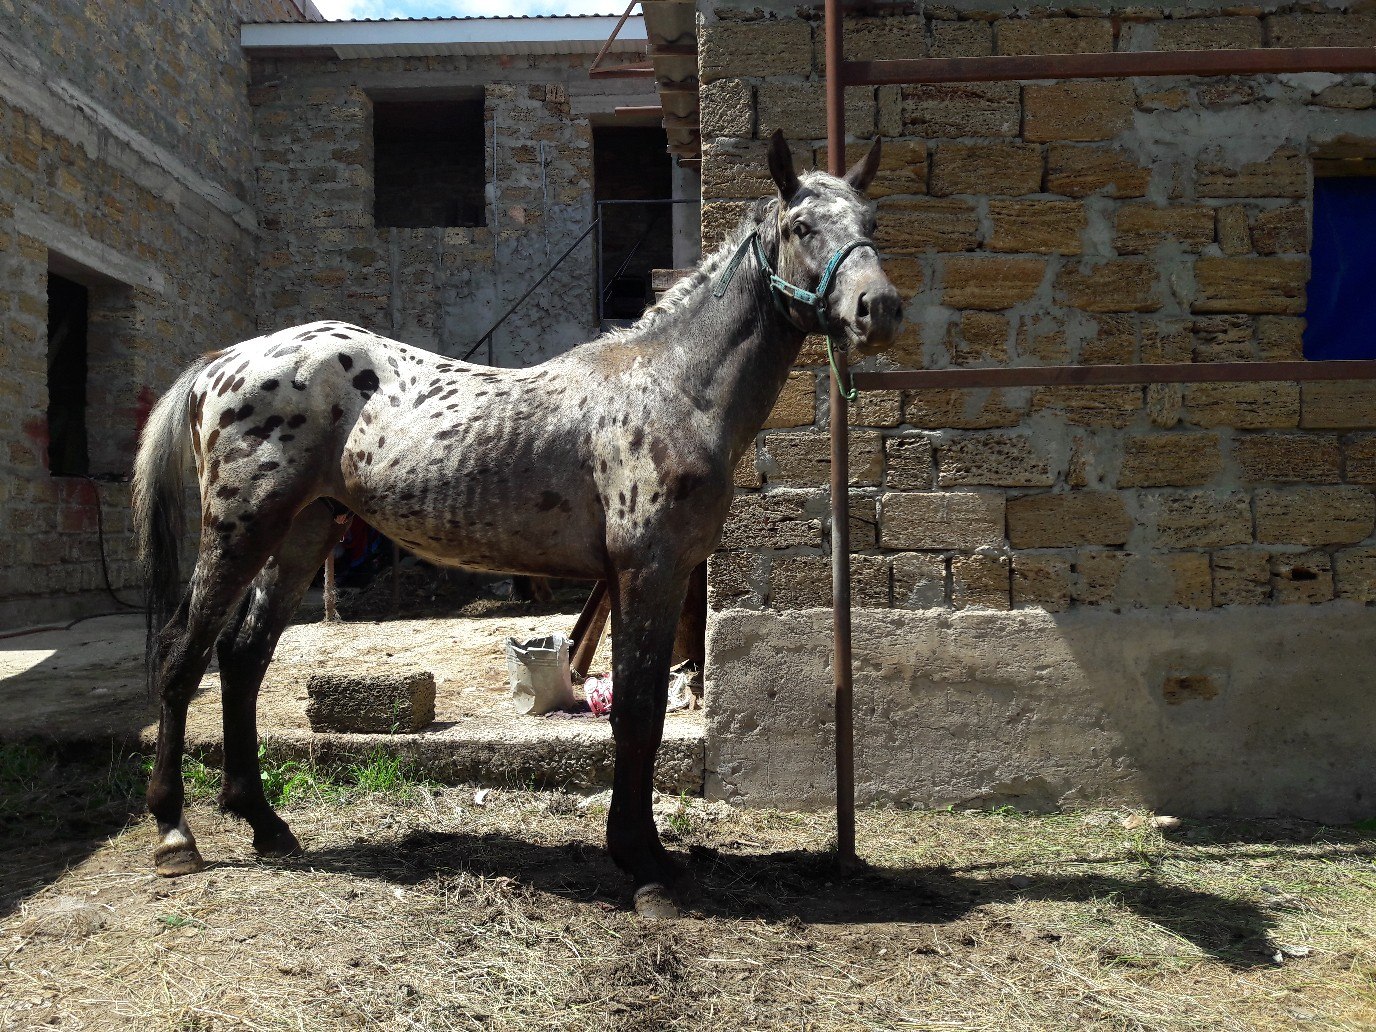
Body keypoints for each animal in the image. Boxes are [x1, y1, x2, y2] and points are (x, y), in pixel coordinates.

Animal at [132, 131, 902, 917]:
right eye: (802, 227)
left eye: (872, 221)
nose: (880, 309)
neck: (671, 387)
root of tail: (221, 364)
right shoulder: (648, 571)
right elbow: (640, 712)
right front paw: (645, 867)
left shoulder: (646, 576)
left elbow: (640, 712)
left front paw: (645, 854)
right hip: (238, 530)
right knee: (181, 656)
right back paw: (174, 835)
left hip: (300, 535)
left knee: (242, 659)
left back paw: (263, 822)